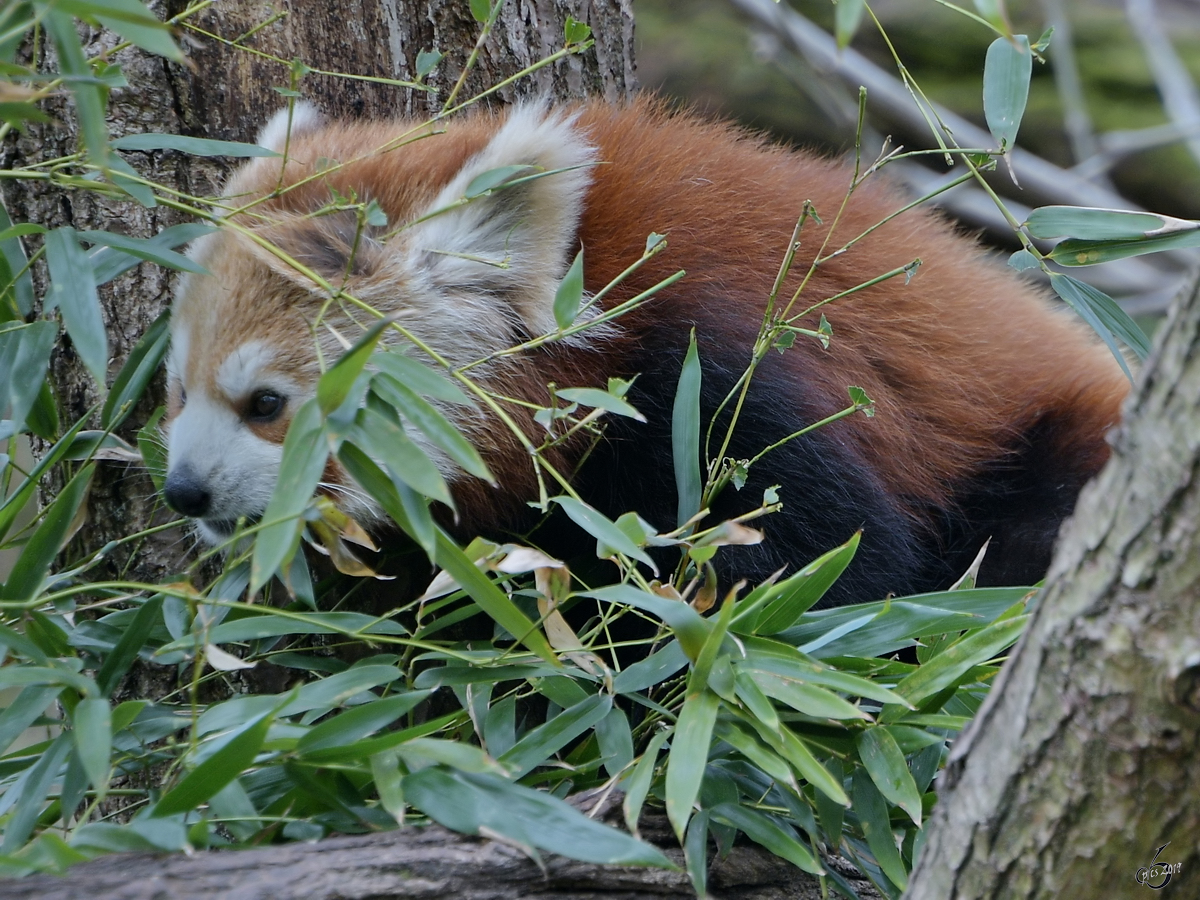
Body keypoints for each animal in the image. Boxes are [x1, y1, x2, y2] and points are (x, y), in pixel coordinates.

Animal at [164, 98, 1128, 607]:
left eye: (266, 404)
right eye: (176, 392)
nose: (185, 492)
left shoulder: (716, 388)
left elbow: (827, 569)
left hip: (1046, 452)